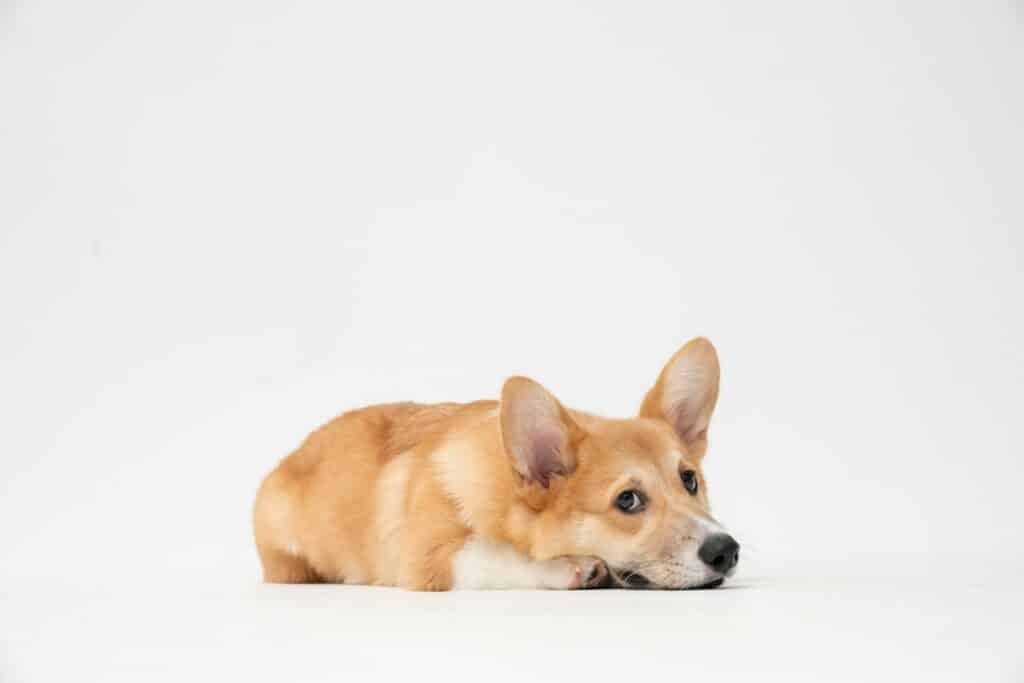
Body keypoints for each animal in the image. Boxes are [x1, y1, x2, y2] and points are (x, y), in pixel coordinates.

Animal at [253, 339, 737, 589]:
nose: (726, 550)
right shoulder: (429, 560)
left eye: (689, 480)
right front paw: (573, 566)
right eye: (628, 500)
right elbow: (494, 553)